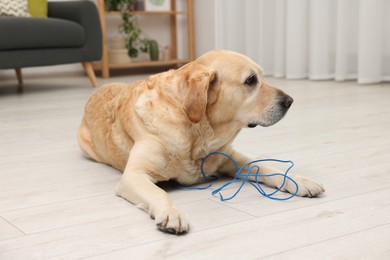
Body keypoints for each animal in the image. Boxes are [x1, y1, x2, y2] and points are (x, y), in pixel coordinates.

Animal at [77, 49, 324, 235]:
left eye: (262, 76)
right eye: (251, 80)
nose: (290, 101)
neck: (198, 132)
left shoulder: (232, 158)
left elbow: (266, 166)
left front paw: (299, 180)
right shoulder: (134, 175)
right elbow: (159, 193)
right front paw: (171, 213)